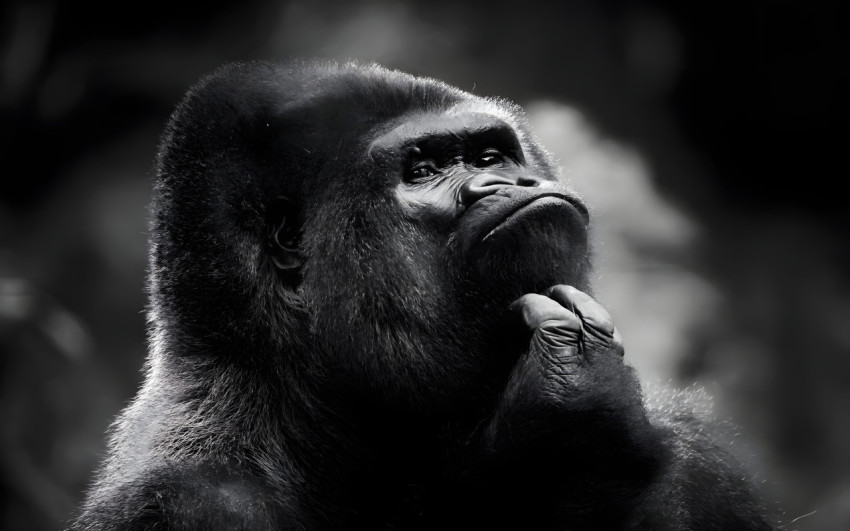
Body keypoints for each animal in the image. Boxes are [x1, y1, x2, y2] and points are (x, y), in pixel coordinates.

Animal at [70, 60, 772, 530]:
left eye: (490, 154)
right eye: (425, 171)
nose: (505, 182)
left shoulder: (694, 456)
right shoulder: (182, 501)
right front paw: (572, 429)